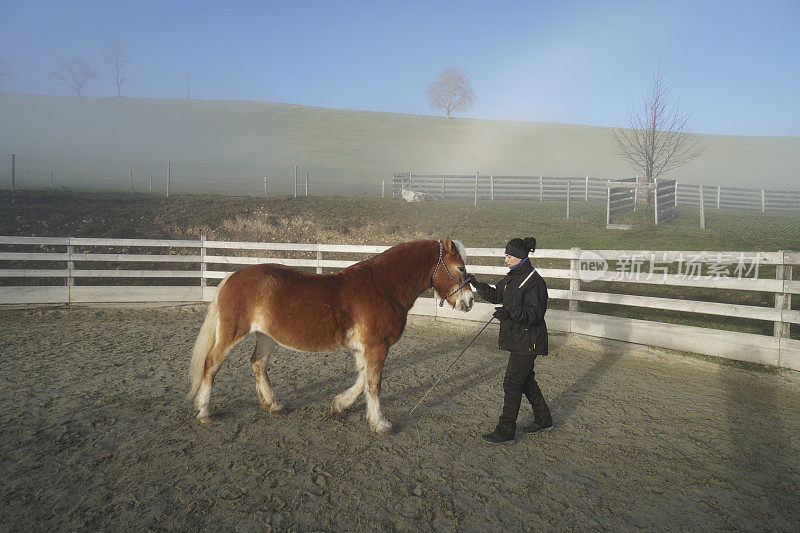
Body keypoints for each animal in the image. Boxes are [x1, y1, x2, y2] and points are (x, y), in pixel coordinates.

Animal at [190, 237, 472, 432]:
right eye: (459, 268)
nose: (469, 301)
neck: (383, 288)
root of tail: (231, 277)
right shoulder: (377, 347)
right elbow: (374, 384)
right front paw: (380, 424)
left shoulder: (365, 349)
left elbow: (362, 381)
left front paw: (339, 404)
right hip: (232, 334)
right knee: (211, 364)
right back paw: (203, 412)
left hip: (266, 336)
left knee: (258, 364)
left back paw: (273, 406)